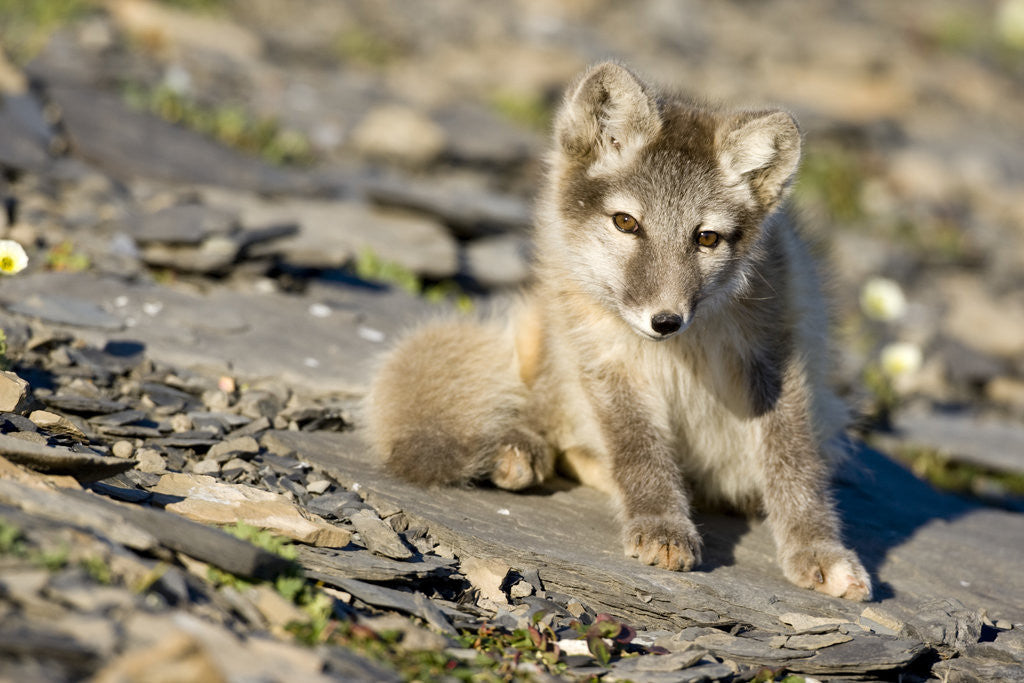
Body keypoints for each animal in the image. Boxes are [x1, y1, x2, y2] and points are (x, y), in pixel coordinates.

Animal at [365, 62, 871, 601]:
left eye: (706, 238)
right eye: (626, 222)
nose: (666, 321)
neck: (682, 348)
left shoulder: (773, 358)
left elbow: (794, 465)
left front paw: (818, 551)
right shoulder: (604, 357)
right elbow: (638, 449)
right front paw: (661, 525)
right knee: (545, 414)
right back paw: (519, 448)